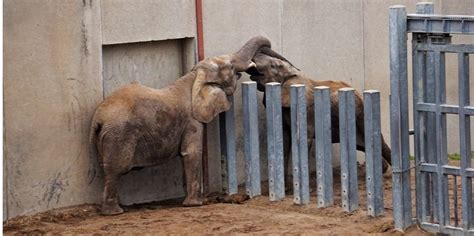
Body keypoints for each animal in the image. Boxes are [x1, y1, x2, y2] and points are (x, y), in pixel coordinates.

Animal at [90, 36, 272, 215]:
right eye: (231, 66)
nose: (256, 67)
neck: (194, 76)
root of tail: (98, 118)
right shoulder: (192, 120)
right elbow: (192, 152)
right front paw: (196, 204)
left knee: (108, 170)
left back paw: (121, 208)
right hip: (119, 134)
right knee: (115, 171)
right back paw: (115, 212)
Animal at [244, 48, 392, 185]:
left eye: (273, 66)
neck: (293, 76)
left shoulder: (306, 110)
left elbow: (304, 139)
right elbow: (285, 141)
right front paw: (286, 188)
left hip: (361, 114)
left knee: (378, 141)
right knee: (363, 145)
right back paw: (382, 168)